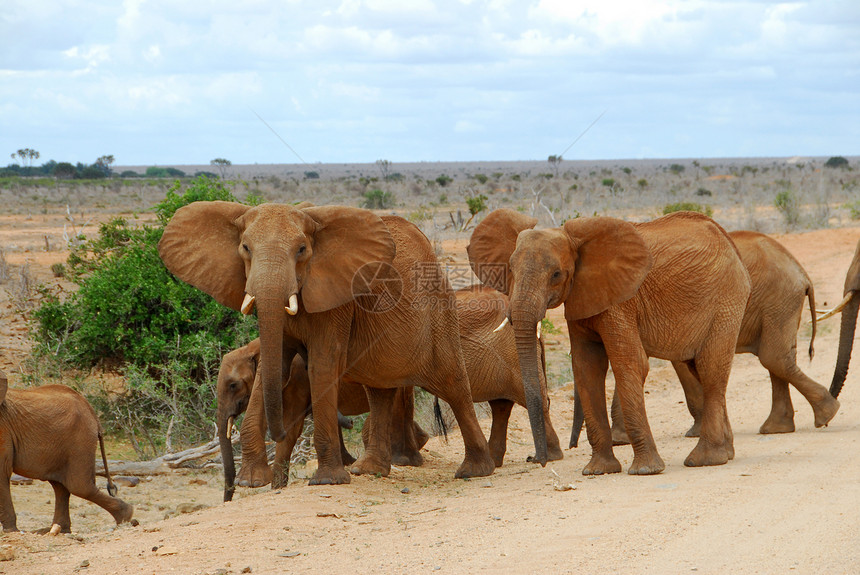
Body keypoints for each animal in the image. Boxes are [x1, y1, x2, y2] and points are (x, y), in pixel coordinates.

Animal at [0, 368, 134, 536]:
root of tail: (92, 411)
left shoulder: (3, 429)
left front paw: (10, 532)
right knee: (61, 486)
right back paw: (59, 530)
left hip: (80, 440)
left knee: (79, 486)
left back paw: (127, 516)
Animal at [215, 340, 430, 502]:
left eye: (233, 385)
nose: (228, 499)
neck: (252, 347)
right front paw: (277, 488)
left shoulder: (297, 378)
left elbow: (292, 426)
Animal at [466, 209, 748, 474]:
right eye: (510, 269)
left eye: (556, 274)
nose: (538, 460)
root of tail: (728, 240)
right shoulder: (581, 296)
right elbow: (586, 367)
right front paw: (598, 470)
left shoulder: (621, 300)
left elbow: (629, 363)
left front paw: (645, 470)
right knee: (698, 368)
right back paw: (727, 453)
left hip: (727, 300)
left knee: (711, 369)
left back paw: (705, 459)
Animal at [572, 232, 840, 448]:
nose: (572, 446)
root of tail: (802, 272)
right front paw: (621, 440)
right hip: (780, 304)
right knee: (776, 359)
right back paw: (779, 427)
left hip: (779, 300)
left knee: (773, 358)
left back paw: (824, 415)